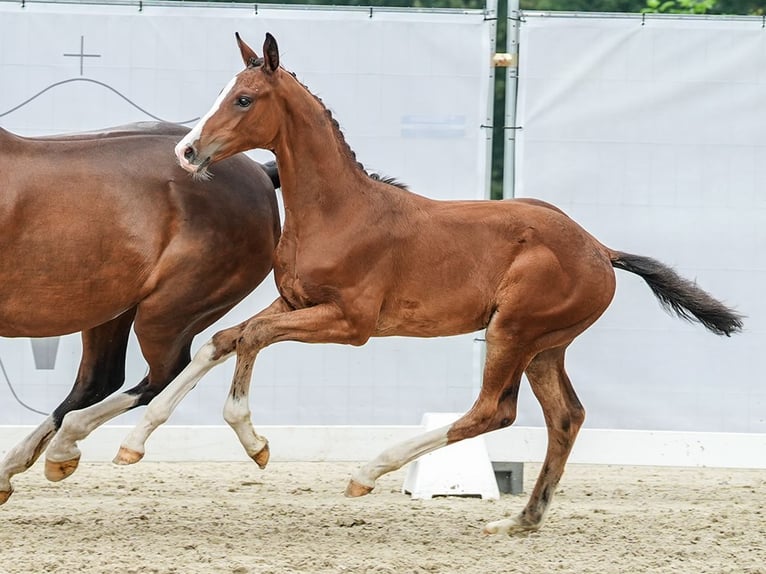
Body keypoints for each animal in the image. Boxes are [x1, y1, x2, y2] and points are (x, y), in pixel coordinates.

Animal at [0, 120, 282, 504]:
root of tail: (259, 173)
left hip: (166, 311)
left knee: (162, 376)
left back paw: (73, 447)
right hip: (110, 305)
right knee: (99, 380)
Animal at [117, 32, 740, 536]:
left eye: (244, 99)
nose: (187, 151)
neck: (338, 210)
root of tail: (600, 250)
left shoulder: (350, 323)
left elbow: (250, 340)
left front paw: (255, 443)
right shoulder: (293, 300)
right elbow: (221, 341)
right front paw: (132, 442)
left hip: (512, 330)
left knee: (493, 411)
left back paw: (368, 472)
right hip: (546, 346)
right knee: (566, 417)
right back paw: (520, 520)